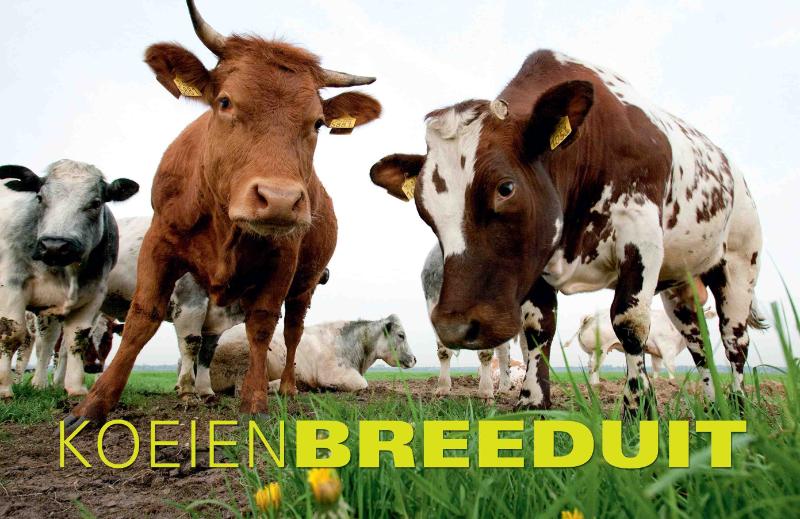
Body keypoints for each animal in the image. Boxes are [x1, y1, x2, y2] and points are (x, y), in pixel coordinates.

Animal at [0, 160, 138, 398]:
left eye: (96, 203)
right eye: (40, 198)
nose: (55, 246)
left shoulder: (94, 293)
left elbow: (77, 338)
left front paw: (76, 388)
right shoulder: (12, 284)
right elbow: (12, 334)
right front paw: (5, 389)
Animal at [65, 0, 381, 429]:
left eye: (317, 122)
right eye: (225, 102)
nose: (279, 199)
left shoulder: (283, 259)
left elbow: (262, 326)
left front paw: (255, 400)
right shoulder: (158, 243)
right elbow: (142, 318)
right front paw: (93, 404)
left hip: (305, 284)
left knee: (293, 331)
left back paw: (286, 387)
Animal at [422, 244, 515, 400]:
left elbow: (485, 353)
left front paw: (486, 392)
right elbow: (443, 351)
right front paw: (442, 388)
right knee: (504, 351)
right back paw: (503, 388)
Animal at [565, 307, 715, 385]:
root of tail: (590, 316)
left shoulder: (656, 353)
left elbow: (657, 368)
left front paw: (656, 381)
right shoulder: (667, 347)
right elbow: (671, 366)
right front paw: (673, 383)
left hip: (591, 351)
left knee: (591, 365)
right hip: (601, 349)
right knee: (594, 366)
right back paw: (596, 385)